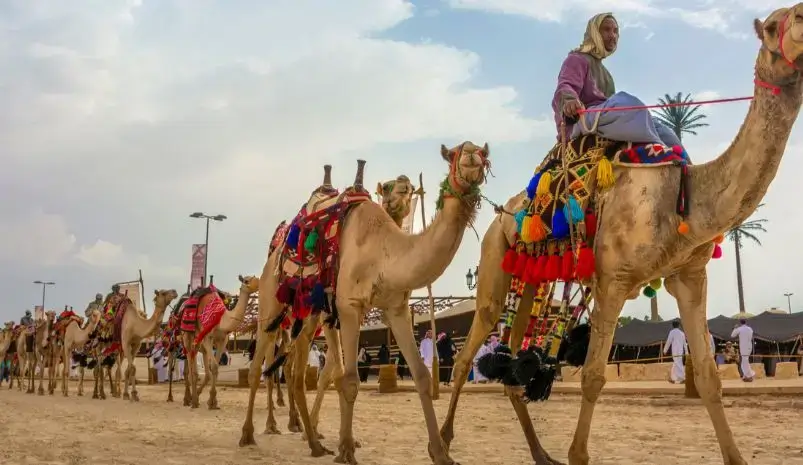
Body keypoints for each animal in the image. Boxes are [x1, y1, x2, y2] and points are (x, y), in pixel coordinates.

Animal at [240, 142, 488, 465]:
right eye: (454, 154)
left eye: (483, 151)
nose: (472, 157)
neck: (383, 253)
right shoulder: (348, 307)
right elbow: (348, 379)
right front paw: (346, 449)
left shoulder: (395, 308)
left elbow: (420, 375)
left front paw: (440, 452)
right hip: (272, 304)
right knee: (261, 368)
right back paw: (250, 434)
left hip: (308, 317)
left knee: (295, 374)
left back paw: (313, 442)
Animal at [437, 10, 803, 465]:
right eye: (773, 26)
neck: (682, 200)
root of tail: (501, 214)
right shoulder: (612, 280)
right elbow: (593, 377)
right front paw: (577, 455)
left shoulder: (689, 275)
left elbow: (708, 376)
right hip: (492, 260)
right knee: (469, 349)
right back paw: (441, 447)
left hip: (530, 281)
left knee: (511, 364)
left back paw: (541, 453)